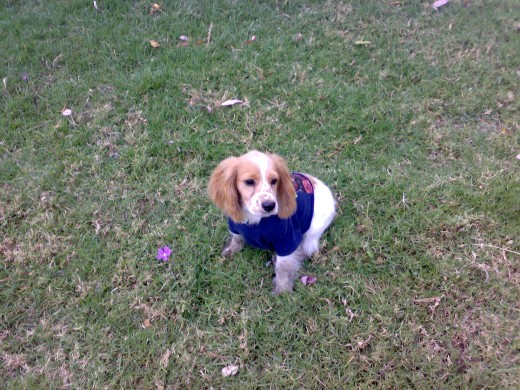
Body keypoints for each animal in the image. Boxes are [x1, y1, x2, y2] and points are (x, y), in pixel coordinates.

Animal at [208, 151, 338, 294]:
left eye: (274, 181)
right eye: (249, 182)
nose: (269, 205)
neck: (255, 219)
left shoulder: (287, 240)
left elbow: (283, 268)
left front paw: (282, 291)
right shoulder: (235, 227)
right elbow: (236, 238)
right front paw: (229, 250)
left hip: (312, 233)